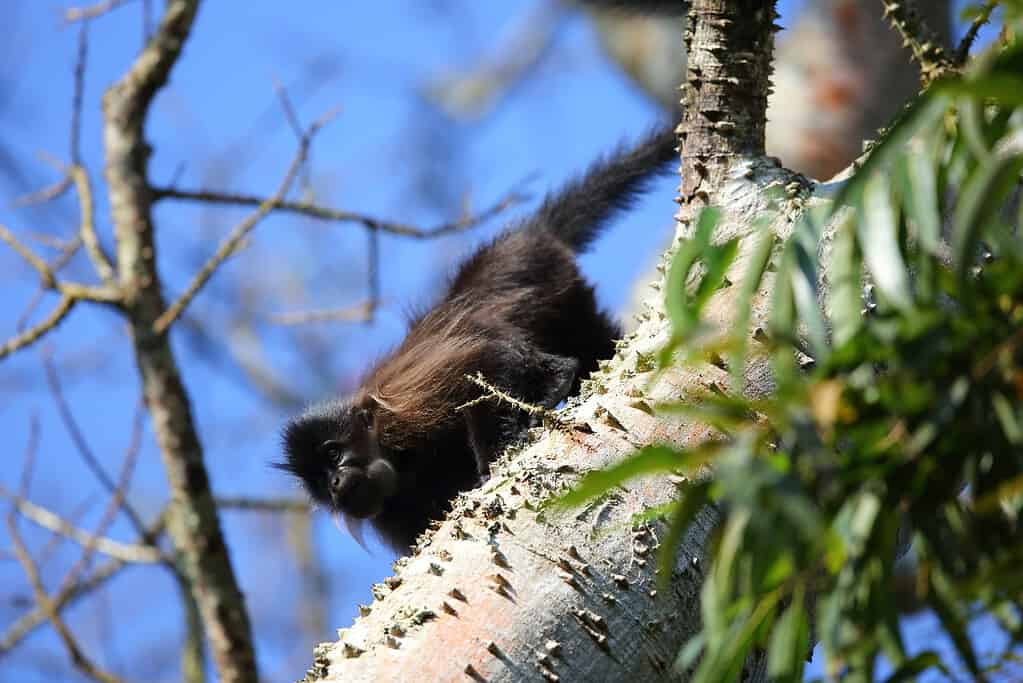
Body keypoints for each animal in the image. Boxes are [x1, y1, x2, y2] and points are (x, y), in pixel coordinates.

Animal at [280, 125, 679, 552]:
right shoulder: (392, 515)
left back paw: (553, 382)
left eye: (333, 454)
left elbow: (479, 362)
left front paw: (498, 453)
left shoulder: (403, 409)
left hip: (535, 276)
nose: (336, 483)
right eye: (321, 481)